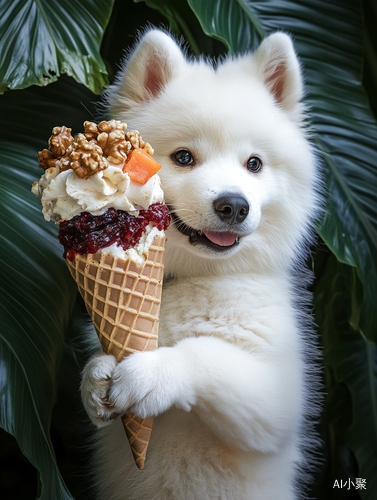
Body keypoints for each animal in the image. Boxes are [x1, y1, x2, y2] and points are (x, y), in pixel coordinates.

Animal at [80, 29, 320, 498]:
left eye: (254, 164)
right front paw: (95, 375)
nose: (234, 205)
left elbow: (207, 353)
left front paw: (153, 374)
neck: (199, 279)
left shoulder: (278, 399)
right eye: (184, 157)